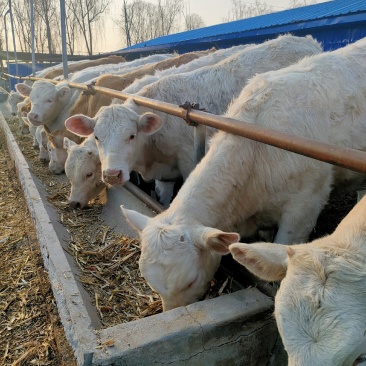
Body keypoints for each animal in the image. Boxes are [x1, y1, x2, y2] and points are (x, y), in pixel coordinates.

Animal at [66, 35, 324, 203]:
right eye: (97, 138)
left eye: (131, 135)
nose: (112, 174)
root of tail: (304, 39)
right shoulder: (165, 174)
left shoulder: (189, 160)